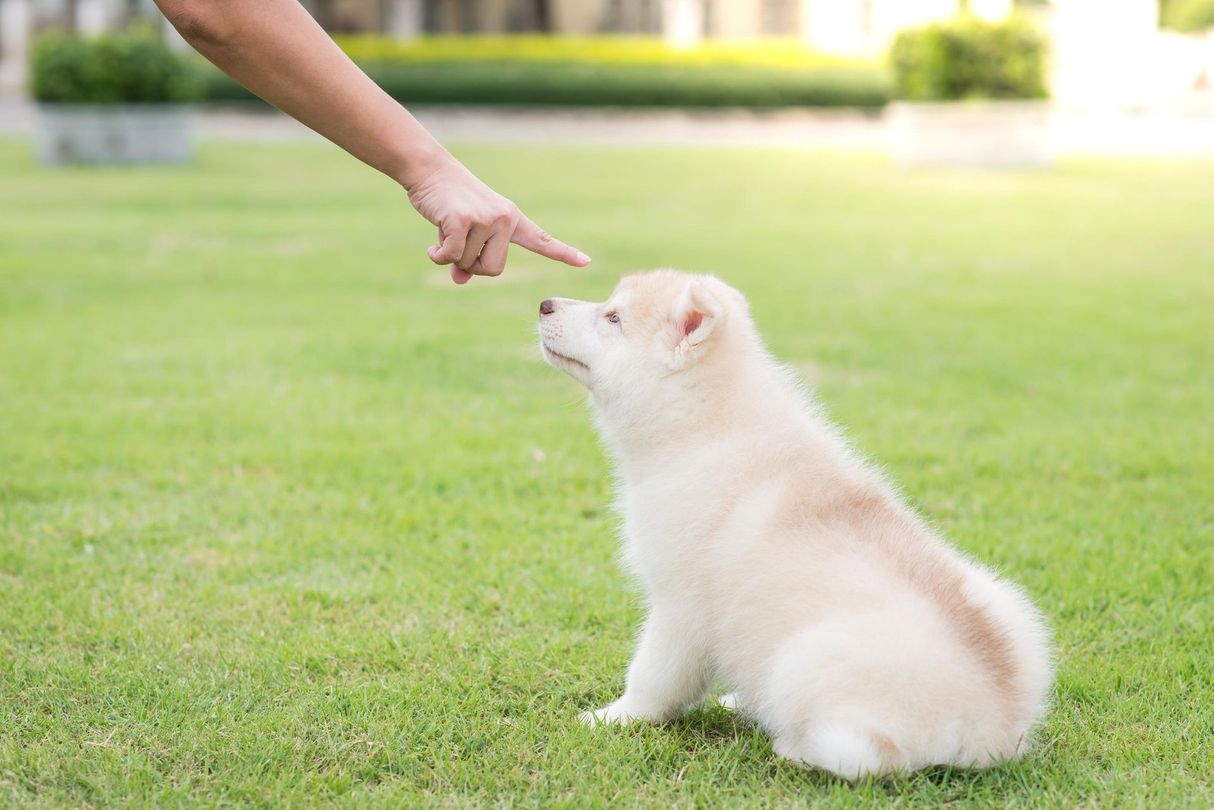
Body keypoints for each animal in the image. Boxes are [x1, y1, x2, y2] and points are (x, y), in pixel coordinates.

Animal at [539, 270, 1053, 777]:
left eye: (613, 317)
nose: (544, 303)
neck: (703, 424)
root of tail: (995, 727)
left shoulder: (680, 606)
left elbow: (652, 677)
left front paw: (614, 717)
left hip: (805, 658)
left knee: (868, 756)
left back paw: (793, 747)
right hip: (1008, 604)